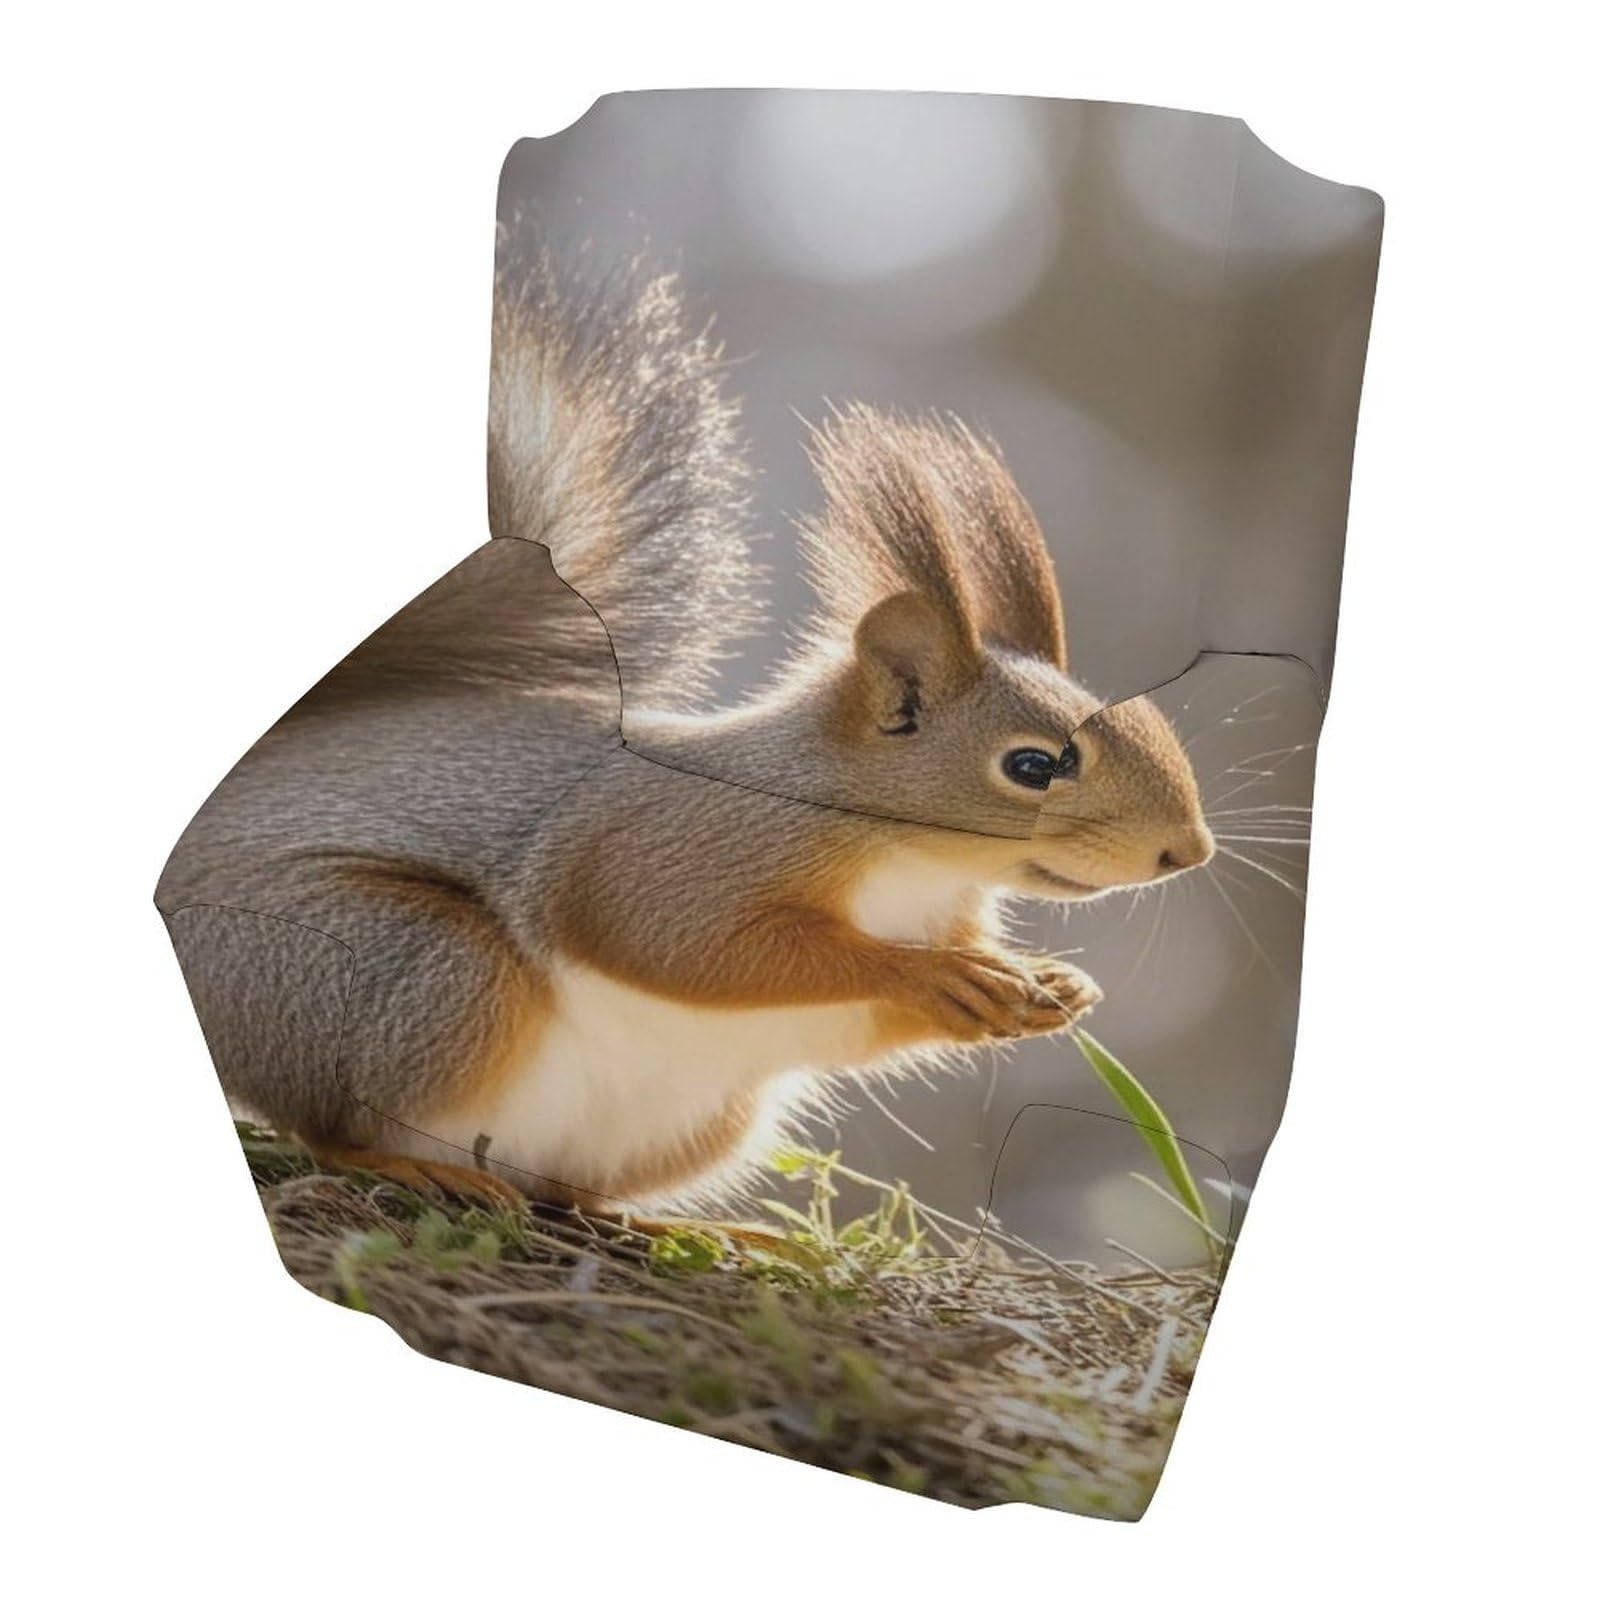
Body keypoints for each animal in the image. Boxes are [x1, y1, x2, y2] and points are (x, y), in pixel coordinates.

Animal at [158, 247, 1215, 1216]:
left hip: (701, 1121)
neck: (909, 867)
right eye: (1034, 765)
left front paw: (1051, 986)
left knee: (569, 1189)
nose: (1190, 853)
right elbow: (676, 935)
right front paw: (934, 974)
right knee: (327, 1123)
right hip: (411, 970)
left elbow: (863, 1027)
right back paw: (407, 1164)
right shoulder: (677, 841)